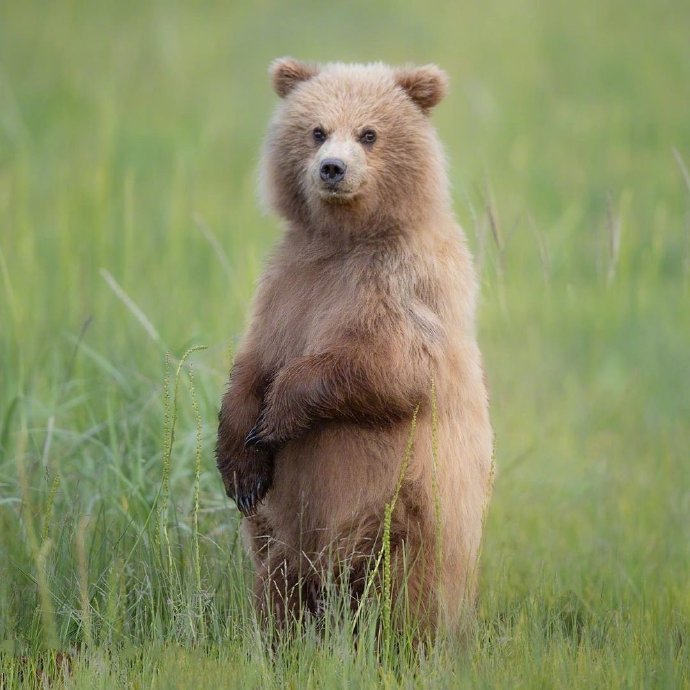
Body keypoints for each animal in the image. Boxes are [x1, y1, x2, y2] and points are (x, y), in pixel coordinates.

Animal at [218, 57, 492, 636]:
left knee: (412, 591)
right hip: (284, 532)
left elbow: (389, 367)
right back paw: (279, 637)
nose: (332, 169)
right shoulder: (288, 287)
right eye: (316, 130)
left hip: (411, 508)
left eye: (369, 133)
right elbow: (252, 363)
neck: (344, 240)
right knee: (279, 580)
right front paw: (240, 465)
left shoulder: (405, 284)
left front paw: (276, 415)